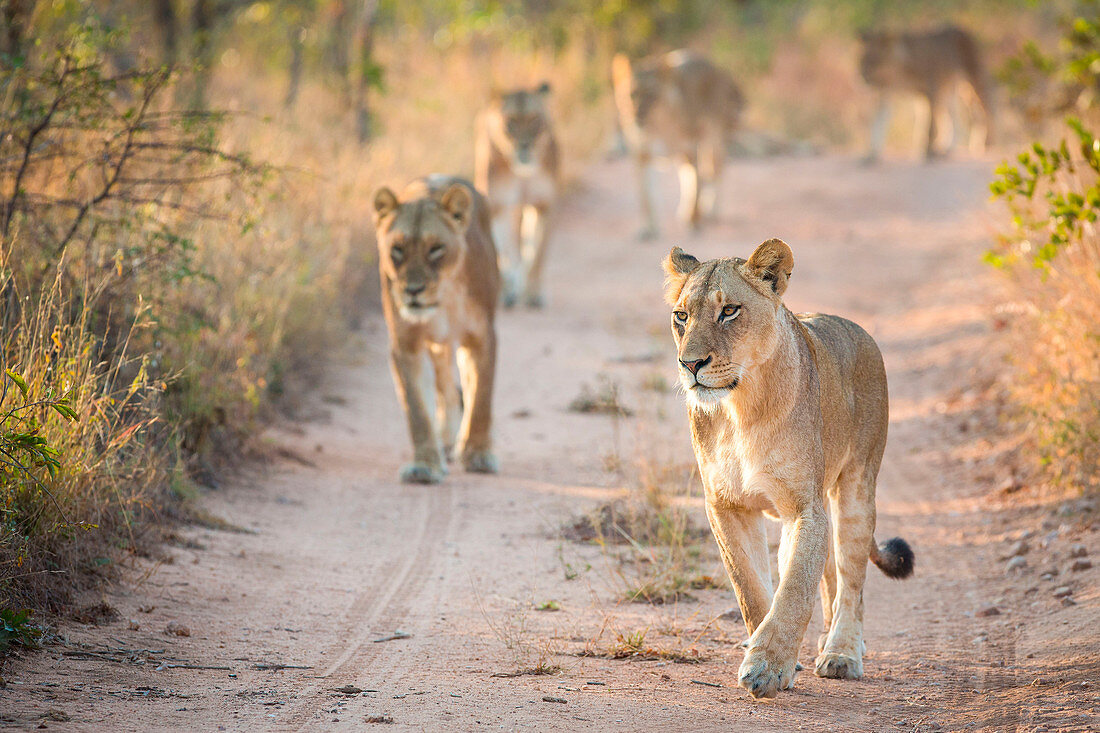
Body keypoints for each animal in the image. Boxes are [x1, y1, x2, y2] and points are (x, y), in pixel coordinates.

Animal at [374, 176, 503, 482]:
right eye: (397, 249)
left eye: (436, 249)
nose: (413, 290)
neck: (444, 297)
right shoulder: (405, 345)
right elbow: (417, 410)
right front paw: (425, 465)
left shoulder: (482, 338)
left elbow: (481, 399)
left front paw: (478, 454)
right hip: (437, 343)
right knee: (445, 385)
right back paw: (445, 439)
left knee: (465, 386)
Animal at [473, 81, 558, 305]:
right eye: (510, 123)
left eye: (535, 120)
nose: (524, 146)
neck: (522, 173)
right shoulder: (496, 206)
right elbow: (502, 252)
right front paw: (507, 290)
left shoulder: (543, 204)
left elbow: (537, 255)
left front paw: (533, 293)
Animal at [616, 50, 743, 238]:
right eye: (631, 94)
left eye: (651, 94)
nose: (636, 116)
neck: (656, 128)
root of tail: (720, 69)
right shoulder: (642, 155)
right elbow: (646, 195)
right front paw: (648, 228)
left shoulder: (690, 147)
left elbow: (696, 185)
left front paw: (694, 222)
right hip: (683, 154)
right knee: (689, 175)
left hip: (713, 138)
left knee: (715, 169)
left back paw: (712, 210)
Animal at [664, 239, 915, 695]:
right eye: (682, 316)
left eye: (730, 311)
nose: (690, 364)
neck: (741, 408)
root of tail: (855, 328)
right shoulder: (726, 506)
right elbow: (752, 589)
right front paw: (767, 652)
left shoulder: (805, 508)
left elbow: (796, 588)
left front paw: (767, 666)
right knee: (829, 578)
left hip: (856, 489)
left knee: (851, 581)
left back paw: (842, 652)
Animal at [858, 27, 998, 162]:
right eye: (862, 61)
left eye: (874, 61)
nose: (862, 76)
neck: (898, 74)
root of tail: (963, 30)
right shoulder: (887, 96)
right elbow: (878, 124)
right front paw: (871, 155)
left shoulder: (932, 90)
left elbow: (929, 125)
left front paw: (928, 153)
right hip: (948, 90)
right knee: (954, 118)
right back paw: (947, 149)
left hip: (973, 78)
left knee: (987, 108)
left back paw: (985, 144)